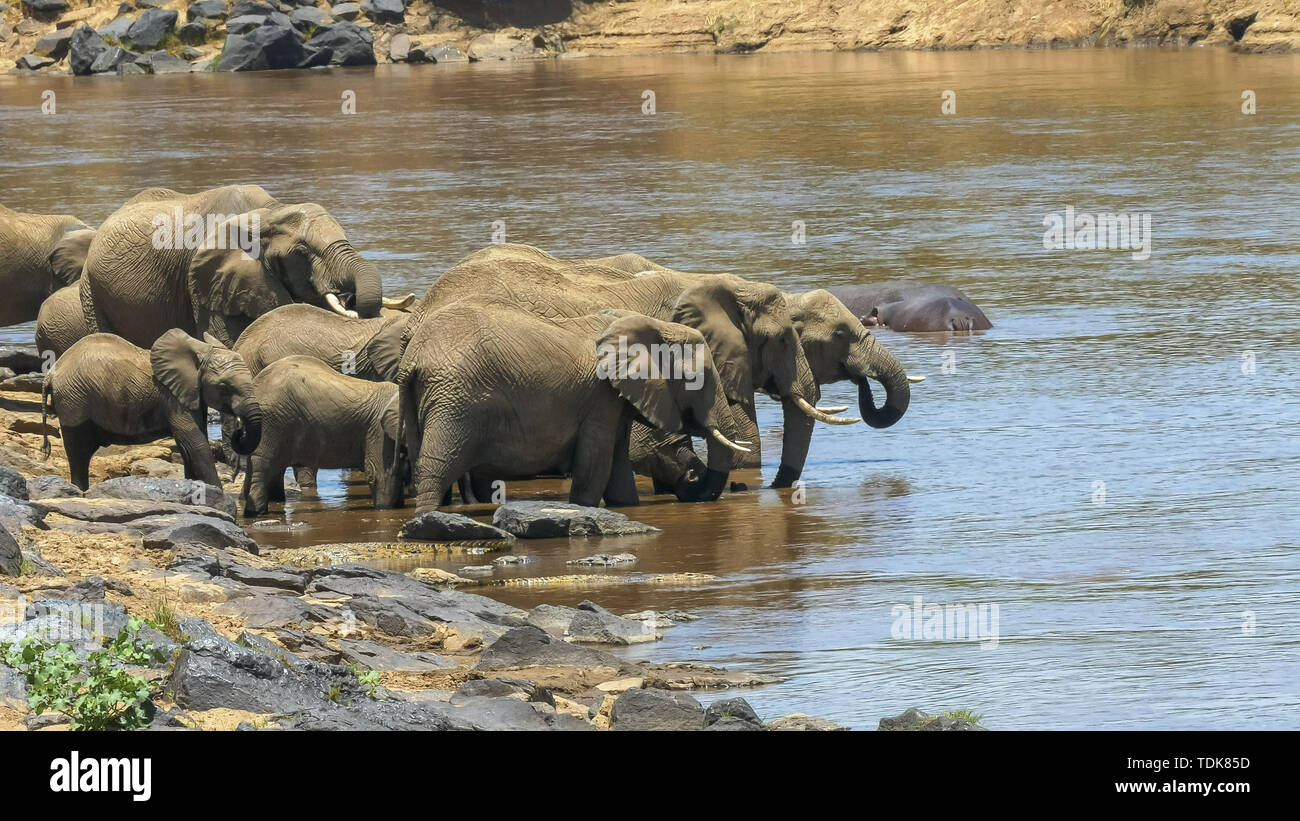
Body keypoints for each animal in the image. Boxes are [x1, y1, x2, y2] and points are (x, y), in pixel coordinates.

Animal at [41, 330, 262, 490]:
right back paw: (80, 490)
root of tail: (51, 373)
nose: (238, 430)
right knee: (79, 451)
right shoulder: (172, 398)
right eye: (225, 387)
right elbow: (195, 443)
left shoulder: (191, 395)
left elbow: (188, 445)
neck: (199, 352)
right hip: (74, 399)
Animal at [79, 184, 383, 350]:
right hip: (92, 290)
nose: (351, 298)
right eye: (302, 252)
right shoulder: (202, 280)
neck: (270, 211)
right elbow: (224, 341)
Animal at [240, 356, 407, 515]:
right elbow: (381, 474)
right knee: (264, 465)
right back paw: (255, 513)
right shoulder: (378, 431)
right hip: (273, 422)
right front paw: (385, 509)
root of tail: (256, 384)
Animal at [395, 296, 749, 509]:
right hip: (453, 402)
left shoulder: (614, 399)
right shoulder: (599, 398)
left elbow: (618, 471)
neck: (653, 325)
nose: (693, 478)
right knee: (436, 467)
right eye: (698, 378)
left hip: (422, 402)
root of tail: (412, 358)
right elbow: (594, 468)